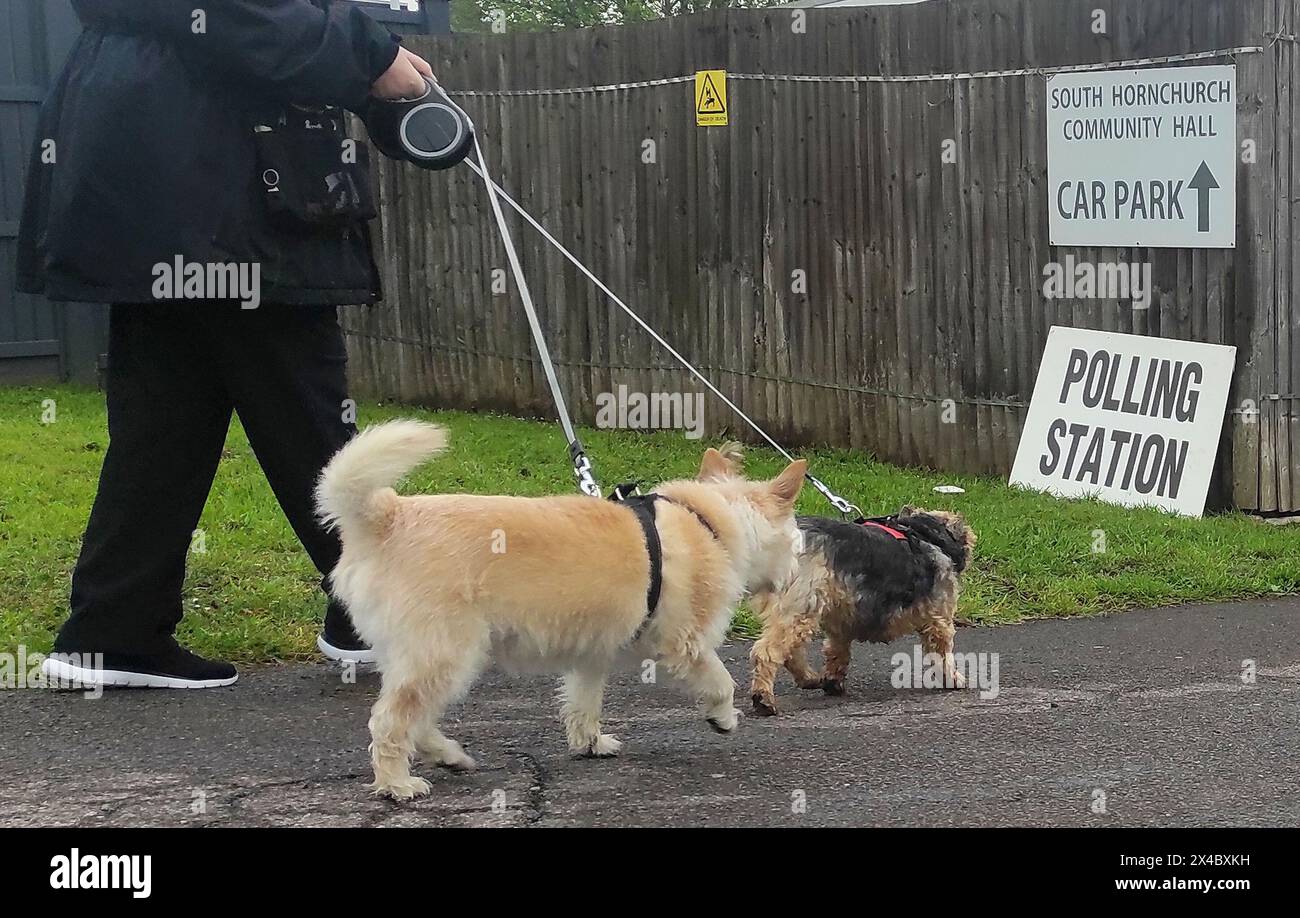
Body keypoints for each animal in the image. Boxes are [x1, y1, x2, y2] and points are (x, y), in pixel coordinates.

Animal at [314, 418, 800, 795]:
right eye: (796, 537)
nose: (794, 574)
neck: (711, 521)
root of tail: (387, 517)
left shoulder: (592, 654)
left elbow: (584, 702)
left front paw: (590, 743)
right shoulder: (686, 643)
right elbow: (721, 681)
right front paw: (723, 717)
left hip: (424, 656)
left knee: (415, 716)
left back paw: (447, 755)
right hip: (445, 653)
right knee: (390, 722)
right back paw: (396, 784)